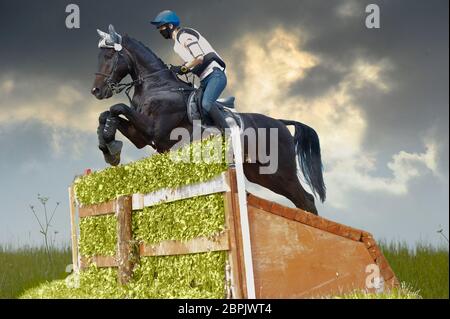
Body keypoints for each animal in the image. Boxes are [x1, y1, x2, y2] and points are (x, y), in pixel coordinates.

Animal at [91, 25, 326, 215]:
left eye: (109, 56)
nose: (96, 91)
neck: (157, 86)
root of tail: (280, 122)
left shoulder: (154, 129)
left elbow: (116, 107)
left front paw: (111, 146)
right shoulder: (142, 136)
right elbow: (108, 114)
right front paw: (109, 147)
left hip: (280, 172)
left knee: (306, 199)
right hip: (262, 174)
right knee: (301, 200)